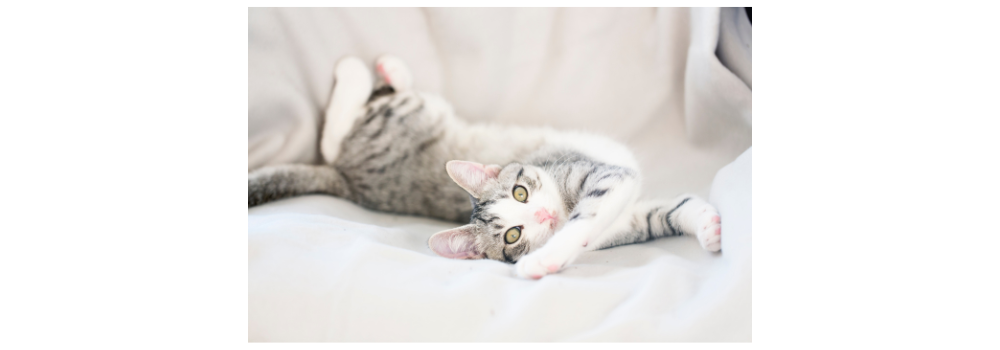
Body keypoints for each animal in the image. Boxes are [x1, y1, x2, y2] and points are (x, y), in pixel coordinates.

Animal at [247, 54, 724, 278]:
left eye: (521, 192)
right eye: (512, 235)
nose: (545, 215)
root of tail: (349, 182)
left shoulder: (623, 202)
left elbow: (673, 208)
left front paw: (709, 226)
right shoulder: (608, 183)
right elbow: (584, 223)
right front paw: (545, 259)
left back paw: (386, 68)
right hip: (402, 120)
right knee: (337, 136)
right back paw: (356, 71)